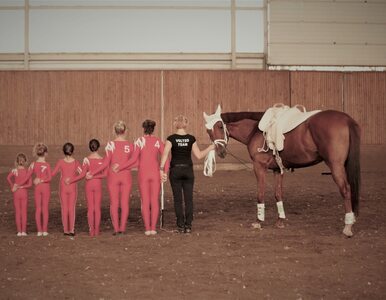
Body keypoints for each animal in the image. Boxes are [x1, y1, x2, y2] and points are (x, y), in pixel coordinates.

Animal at [204, 105, 360, 237]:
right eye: (208, 131)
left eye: (220, 126)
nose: (221, 151)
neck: (255, 130)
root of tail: (347, 119)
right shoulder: (277, 170)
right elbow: (278, 194)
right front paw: (280, 220)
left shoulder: (259, 167)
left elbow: (260, 194)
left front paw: (259, 221)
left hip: (336, 165)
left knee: (346, 190)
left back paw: (347, 227)